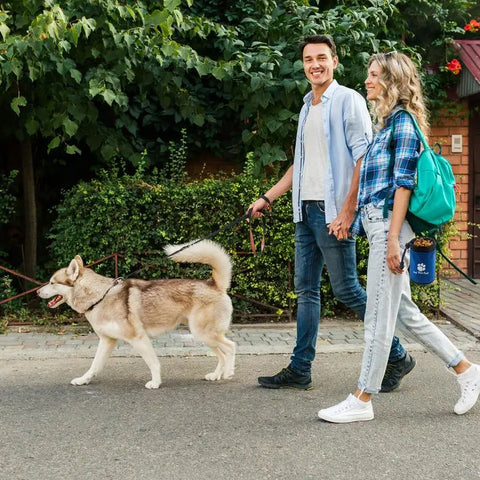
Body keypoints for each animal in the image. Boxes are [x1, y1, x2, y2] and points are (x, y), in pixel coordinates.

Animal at [37, 242, 234, 388]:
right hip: (204, 336)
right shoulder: (107, 341)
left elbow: (153, 363)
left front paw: (155, 383)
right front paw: (83, 380)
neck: (100, 296)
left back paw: (229, 372)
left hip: (204, 334)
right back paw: (217, 375)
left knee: (230, 347)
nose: (37, 291)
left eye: (52, 282)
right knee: (222, 355)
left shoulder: (138, 338)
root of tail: (215, 284)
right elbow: (94, 365)